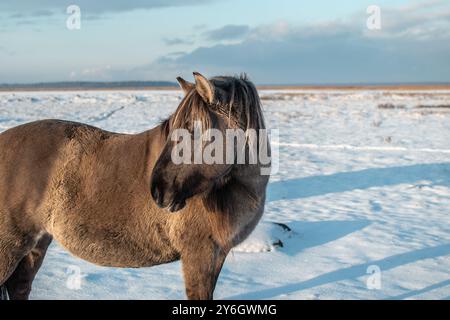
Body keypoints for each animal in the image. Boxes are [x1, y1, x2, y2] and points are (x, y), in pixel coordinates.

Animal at [0, 72, 268, 300]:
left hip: (35, 245)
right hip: (10, 247)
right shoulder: (199, 255)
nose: (158, 191)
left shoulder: (215, 255)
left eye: (194, 129)